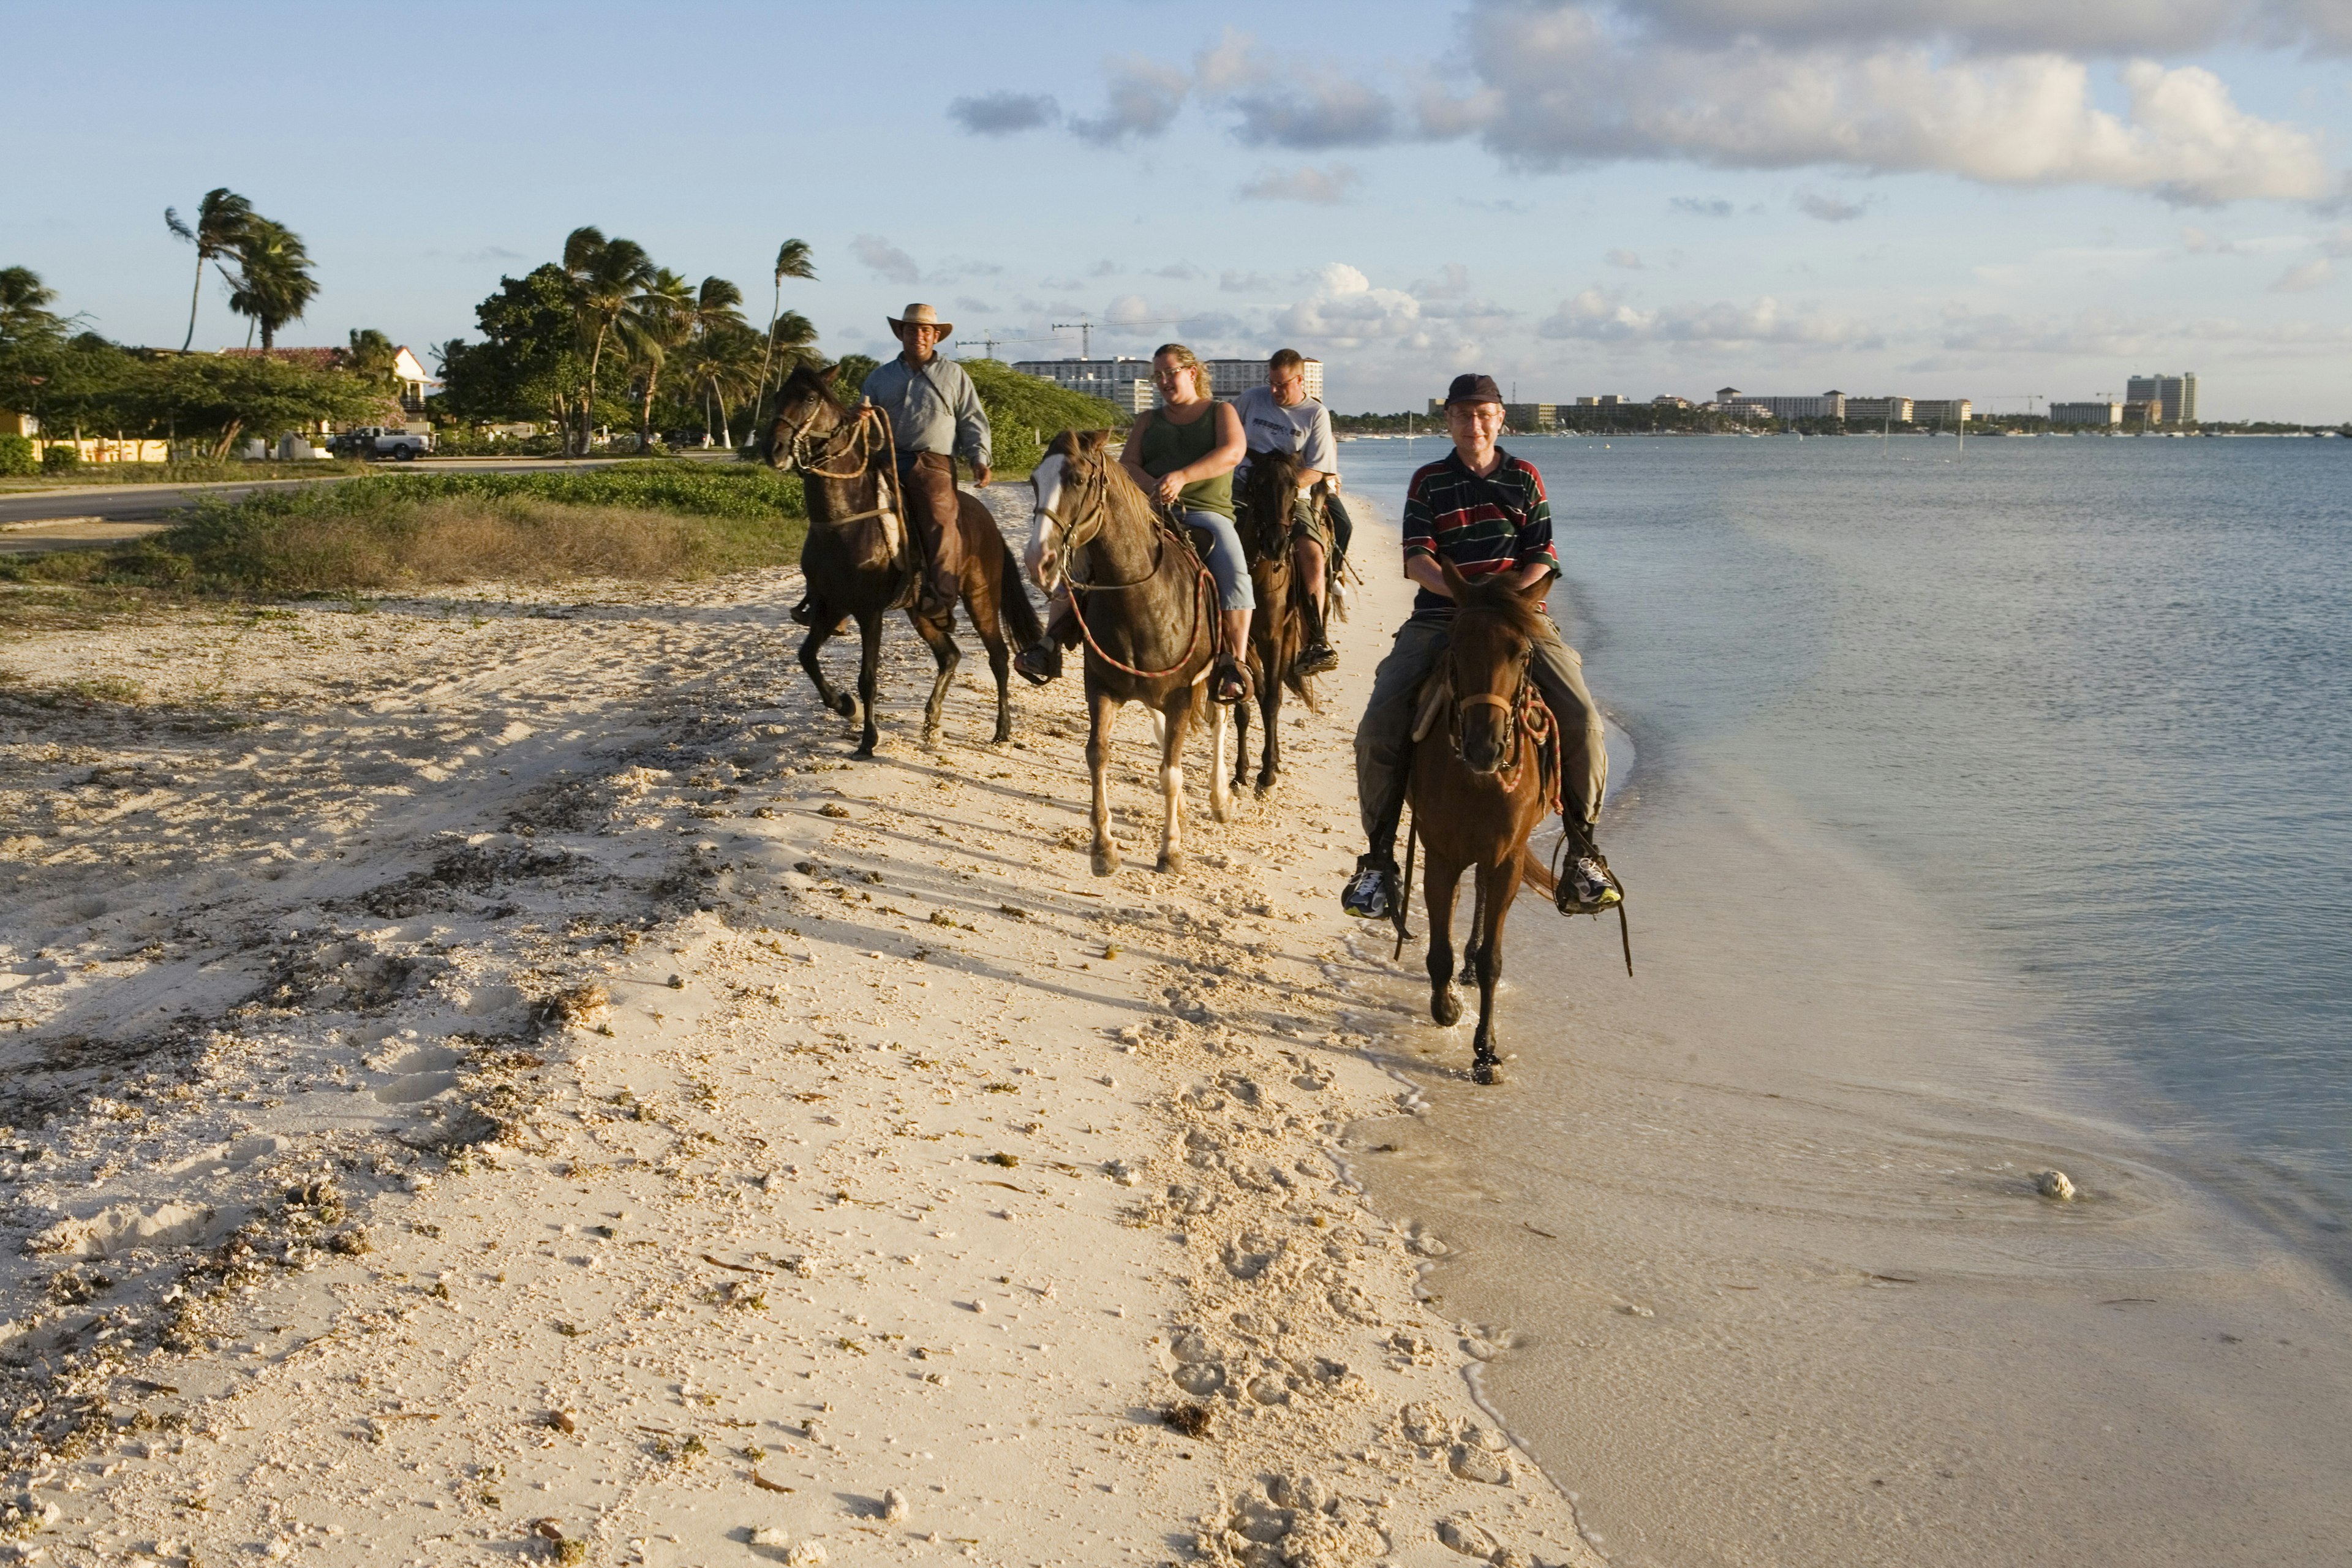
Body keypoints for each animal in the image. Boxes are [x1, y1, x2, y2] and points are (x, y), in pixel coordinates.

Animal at [771, 369, 1039, 761]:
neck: (843, 521)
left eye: (808, 399)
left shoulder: (869, 611)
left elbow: (868, 677)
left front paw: (868, 740)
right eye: (777, 396)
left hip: (981, 596)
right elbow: (807, 657)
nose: (772, 448)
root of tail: (985, 519)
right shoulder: (829, 606)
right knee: (949, 655)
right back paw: (932, 724)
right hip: (920, 611)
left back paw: (1002, 731)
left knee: (999, 657)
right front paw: (846, 707)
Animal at [1020, 430, 1232, 879]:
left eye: (1079, 479)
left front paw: (1170, 851)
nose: (1038, 561)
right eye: (1033, 481)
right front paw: (1104, 849)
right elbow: (1098, 755)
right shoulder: (1100, 689)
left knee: (1221, 721)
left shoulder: (1183, 694)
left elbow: (1171, 772)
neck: (1143, 597)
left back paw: (1220, 798)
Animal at [1232, 451, 1326, 799]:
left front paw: (1267, 776)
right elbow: (1245, 701)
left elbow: (1272, 700)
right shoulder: (1244, 640)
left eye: (1294, 485)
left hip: (1287, 638)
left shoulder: (1272, 637)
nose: (1276, 544)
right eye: (1257, 484)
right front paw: (1240, 774)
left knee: (1273, 695)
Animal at [1392, 557, 1561, 1086]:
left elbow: (1492, 960)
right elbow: (1439, 947)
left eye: (1522, 652)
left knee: (1483, 900)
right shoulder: (1441, 855)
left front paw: (1486, 1053)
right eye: (1456, 644)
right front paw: (1445, 1007)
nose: (1484, 748)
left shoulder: (1506, 858)